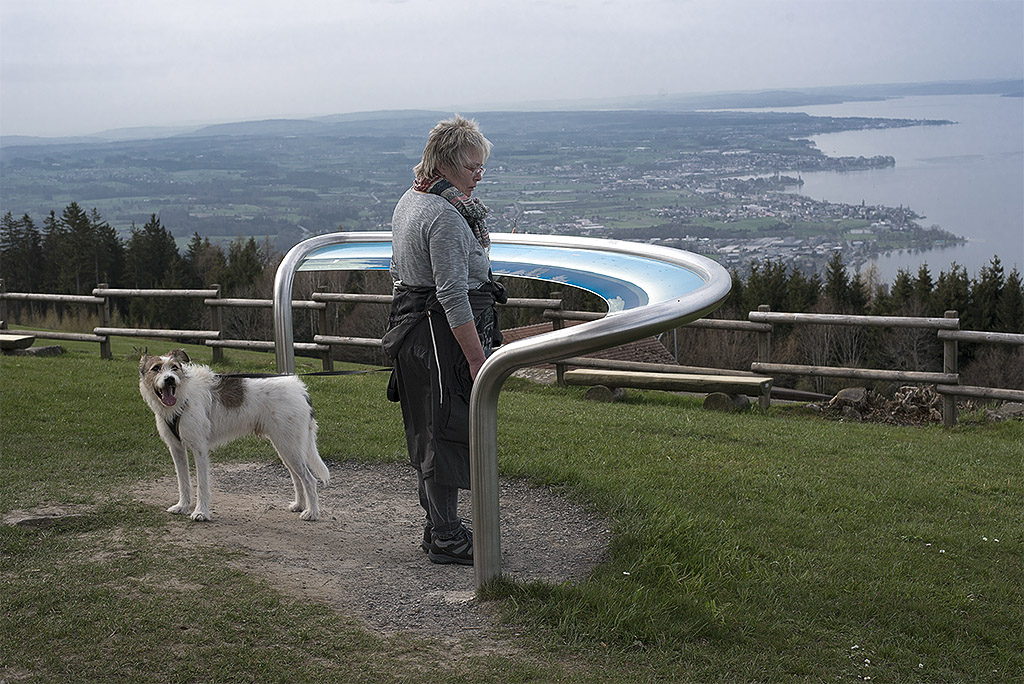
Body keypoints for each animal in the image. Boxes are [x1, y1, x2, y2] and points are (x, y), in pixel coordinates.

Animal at [139, 350, 327, 520]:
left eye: (174, 367)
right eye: (156, 368)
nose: (170, 379)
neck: (182, 396)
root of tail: (300, 389)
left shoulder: (199, 449)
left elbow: (202, 484)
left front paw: (201, 513)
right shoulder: (176, 449)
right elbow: (183, 482)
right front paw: (182, 506)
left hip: (289, 447)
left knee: (309, 479)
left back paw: (311, 513)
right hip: (286, 448)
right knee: (297, 478)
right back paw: (299, 505)